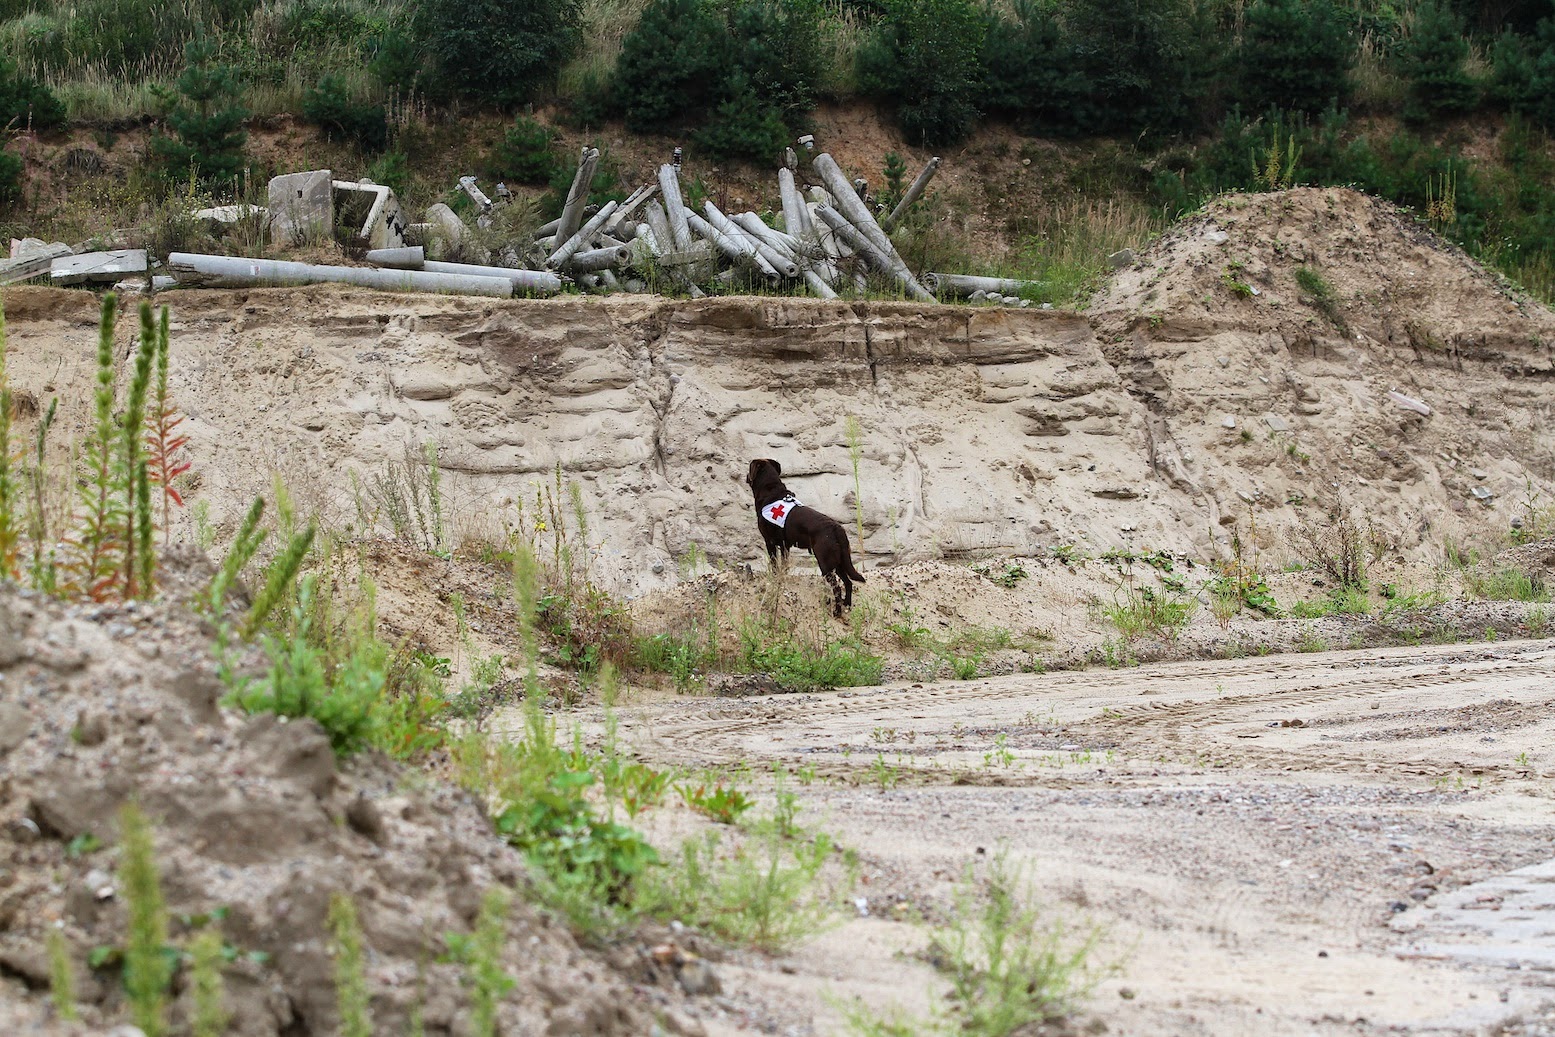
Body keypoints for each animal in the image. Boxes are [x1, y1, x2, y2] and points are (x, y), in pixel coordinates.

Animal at [743, 457, 864, 615]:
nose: (746, 476)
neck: (771, 490)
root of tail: (836, 529)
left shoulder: (769, 541)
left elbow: (775, 565)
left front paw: (775, 579)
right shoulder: (785, 546)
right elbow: (784, 565)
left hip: (825, 563)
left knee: (837, 587)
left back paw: (837, 612)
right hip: (839, 562)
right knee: (848, 582)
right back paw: (847, 604)